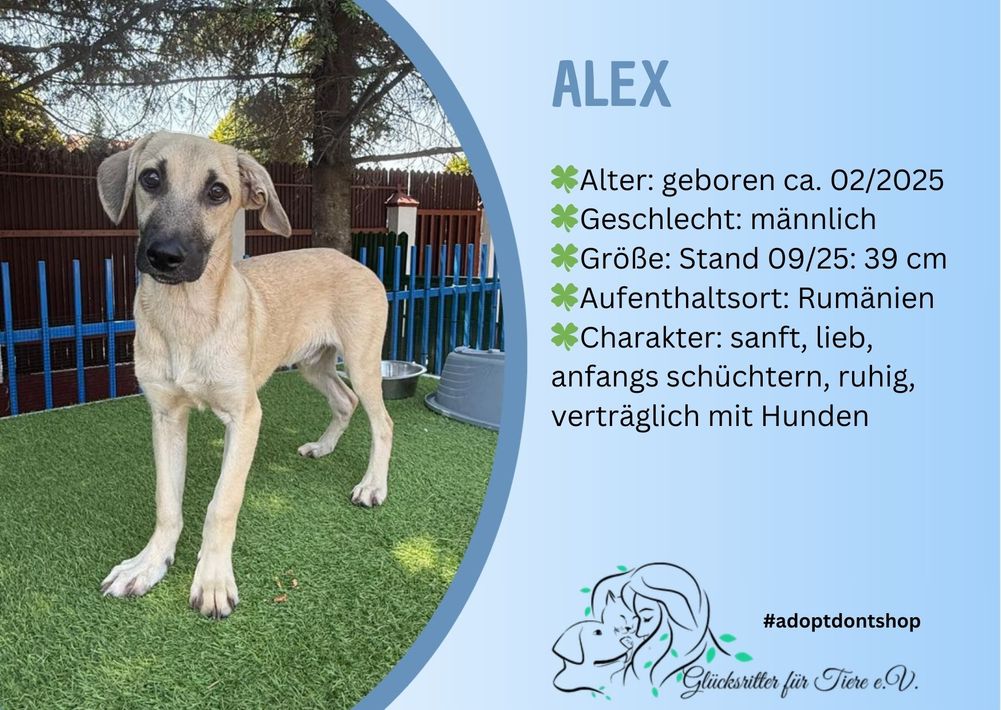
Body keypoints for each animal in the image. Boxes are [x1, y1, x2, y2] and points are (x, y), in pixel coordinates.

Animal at [96, 132, 393, 618]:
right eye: (150, 179)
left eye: (218, 192)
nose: (164, 256)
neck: (188, 317)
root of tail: (353, 261)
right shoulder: (166, 416)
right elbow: (166, 503)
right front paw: (149, 564)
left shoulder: (245, 416)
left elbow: (222, 504)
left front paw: (213, 579)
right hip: (313, 363)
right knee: (343, 400)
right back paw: (323, 447)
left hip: (364, 362)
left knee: (382, 421)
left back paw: (372, 486)